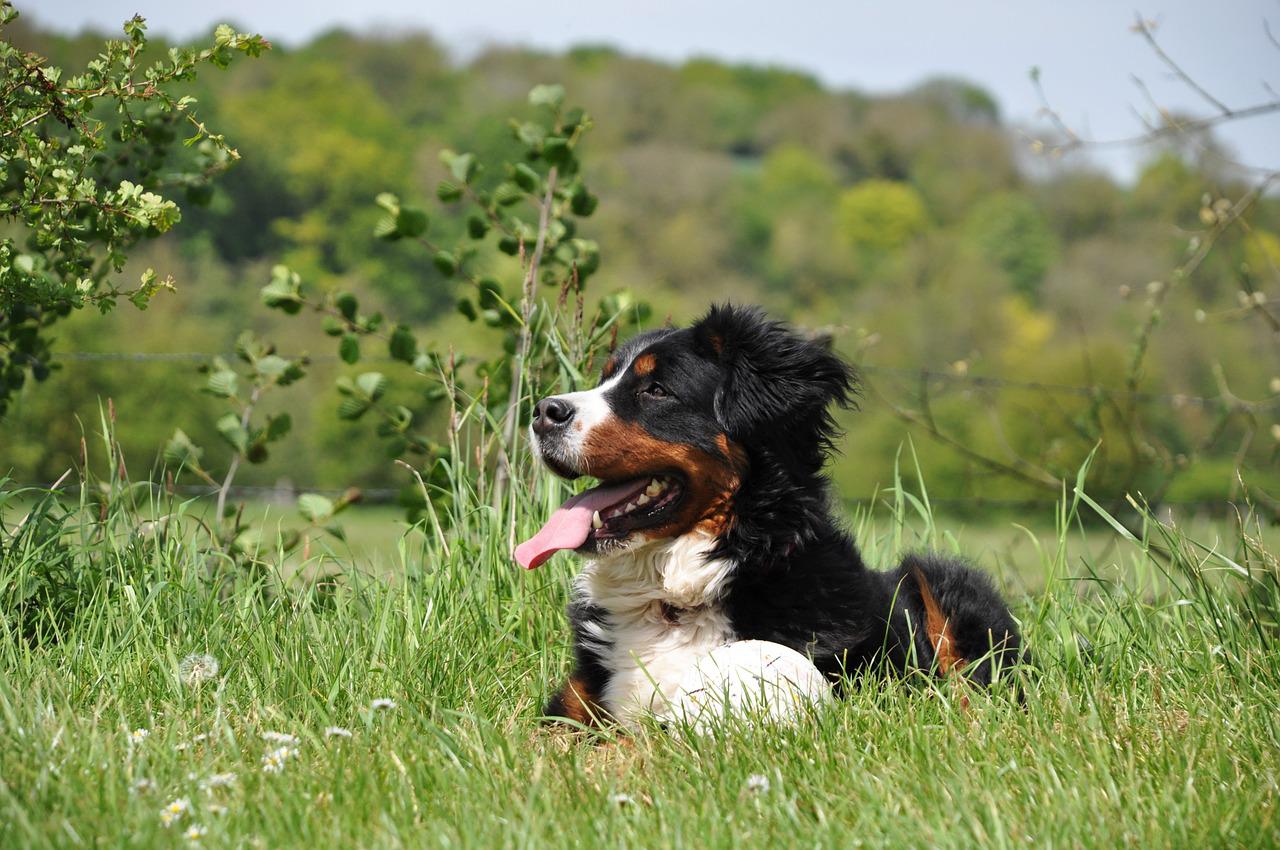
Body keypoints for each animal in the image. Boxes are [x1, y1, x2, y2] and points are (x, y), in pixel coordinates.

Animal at [514, 302, 1024, 727]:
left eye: (657, 390)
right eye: (604, 378)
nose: (542, 412)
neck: (672, 602)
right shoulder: (573, 705)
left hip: (942, 584)